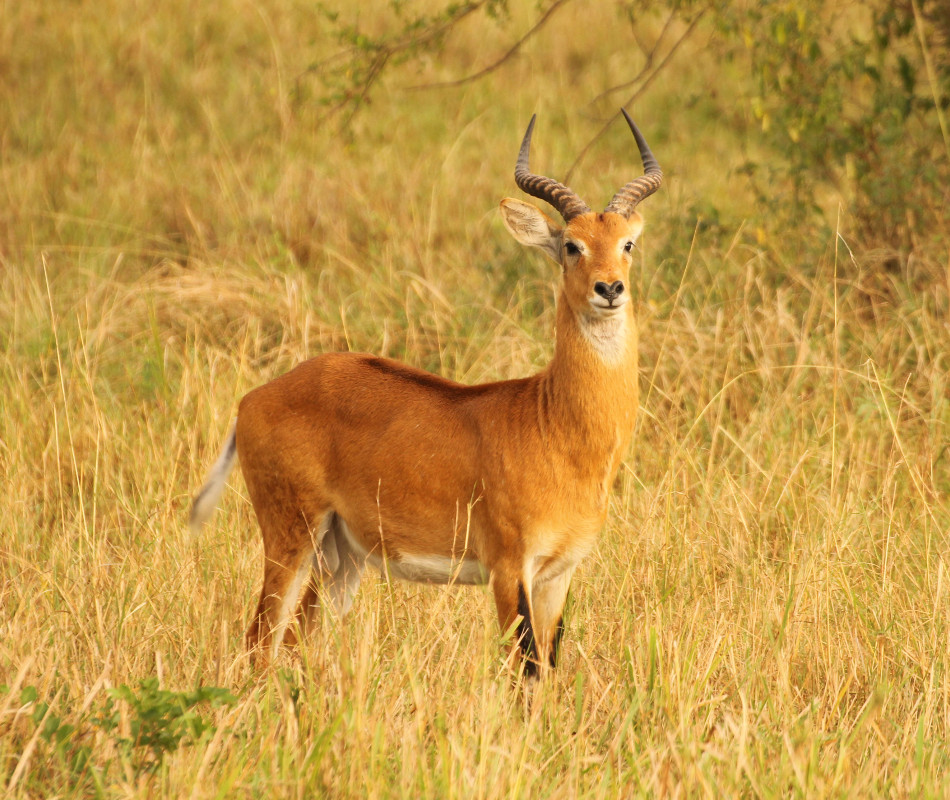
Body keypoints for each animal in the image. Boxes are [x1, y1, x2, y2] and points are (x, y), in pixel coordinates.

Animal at [190, 111, 664, 676]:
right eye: (572, 245)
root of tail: (254, 398)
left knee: (293, 641)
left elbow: (548, 668)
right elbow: (523, 670)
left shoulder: (558, 573)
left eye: (627, 244)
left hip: (340, 559)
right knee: (259, 641)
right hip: (292, 537)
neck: (554, 424)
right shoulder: (509, 568)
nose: (609, 288)